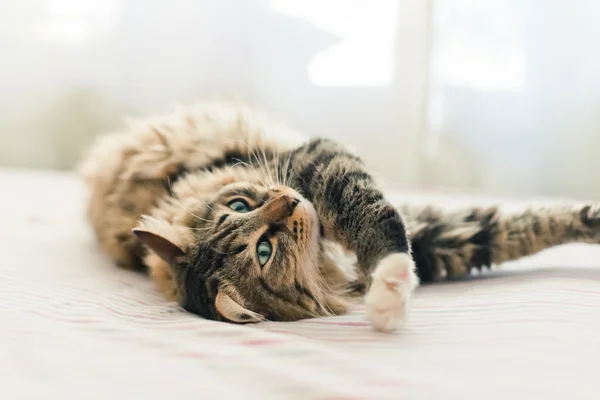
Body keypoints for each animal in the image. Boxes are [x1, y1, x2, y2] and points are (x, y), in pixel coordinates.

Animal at [79, 102, 600, 332]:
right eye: (264, 252)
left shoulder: (320, 163)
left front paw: (593, 217)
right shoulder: (437, 238)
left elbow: (534, 222)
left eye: (240, 206)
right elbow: (388, 235)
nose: (289, 202)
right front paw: (390, 295)